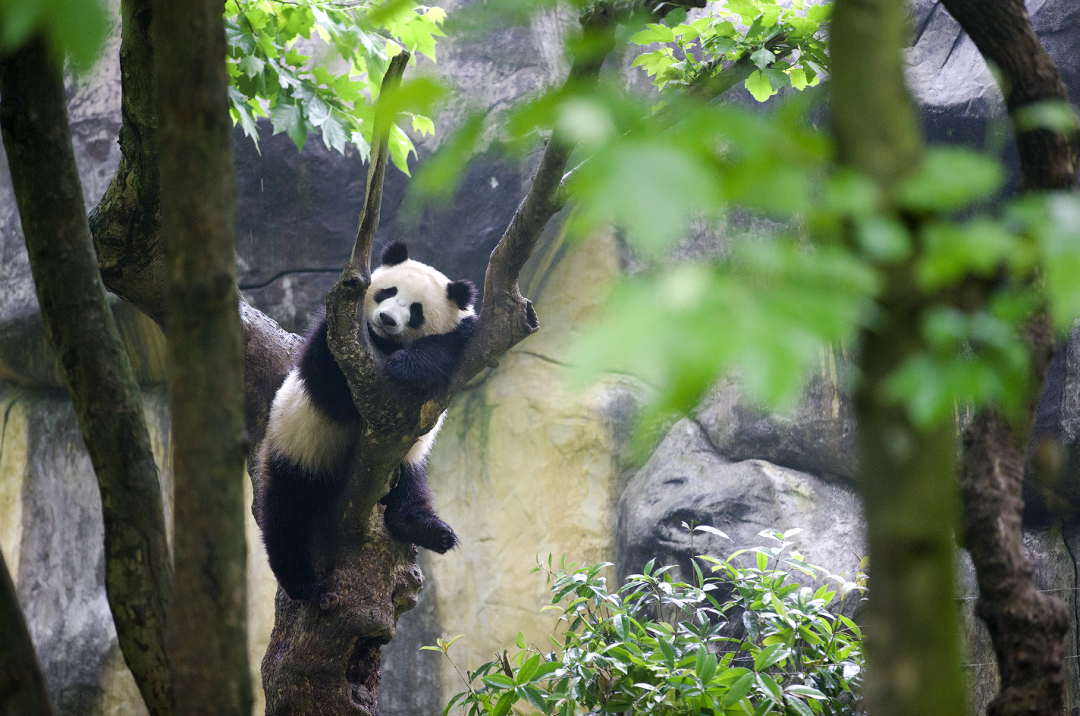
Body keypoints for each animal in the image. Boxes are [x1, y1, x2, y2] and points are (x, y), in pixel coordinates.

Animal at [257, 244, 477, 600]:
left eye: (416, 310)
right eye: (388, 292)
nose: (386, 319)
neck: (383, 343)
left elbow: (446, 350)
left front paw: (412, 363)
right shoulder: (335, 337)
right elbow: (329, 381)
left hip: (404, 461)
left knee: (410, 488)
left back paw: (429, 530)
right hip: (295, 448)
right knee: (286, 511)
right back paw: (300, 581)